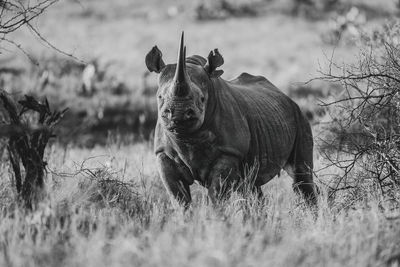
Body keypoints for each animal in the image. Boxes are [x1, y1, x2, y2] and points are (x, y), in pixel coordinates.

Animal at [145, 31, 318, 207]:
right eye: (160, 97)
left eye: (202, 99)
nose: (178, 114)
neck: (187, 137)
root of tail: (286, 96)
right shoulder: (163, 154)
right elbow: (179, 197)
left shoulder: (229, 152)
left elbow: (216, 195)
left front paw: (215, 214)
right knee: (250, 185)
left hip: (299, 116)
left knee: (301, 175)